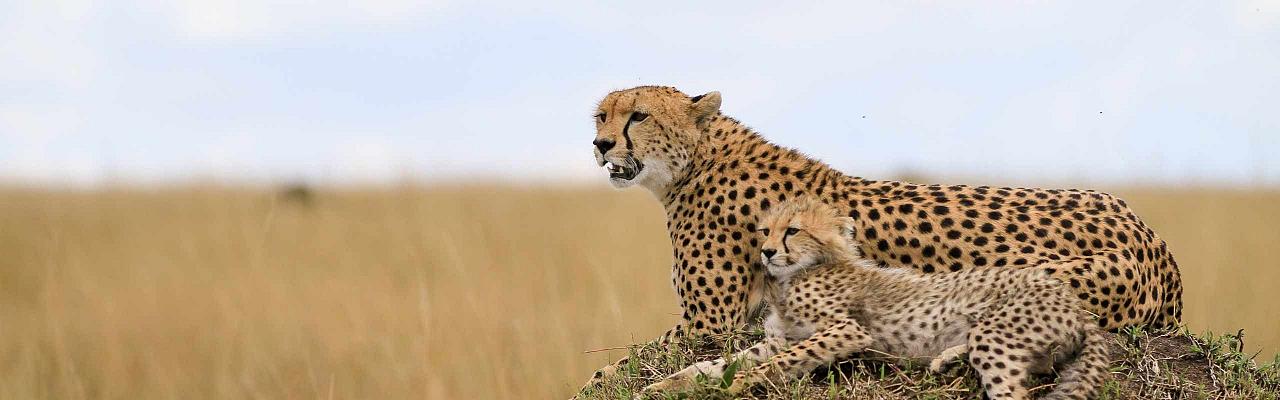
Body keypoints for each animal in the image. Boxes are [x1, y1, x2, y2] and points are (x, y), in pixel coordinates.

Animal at [645, 197, 1105, 400]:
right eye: (764, 231)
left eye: (792, 230)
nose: (767, 252)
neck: (797, 274)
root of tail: (1074, 303)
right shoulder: (778, 339)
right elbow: (714, 364)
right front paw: (667, 384)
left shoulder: (847, 330)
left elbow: (773, 364)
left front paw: (739, 385)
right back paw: (946, 357)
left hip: (998, 337)